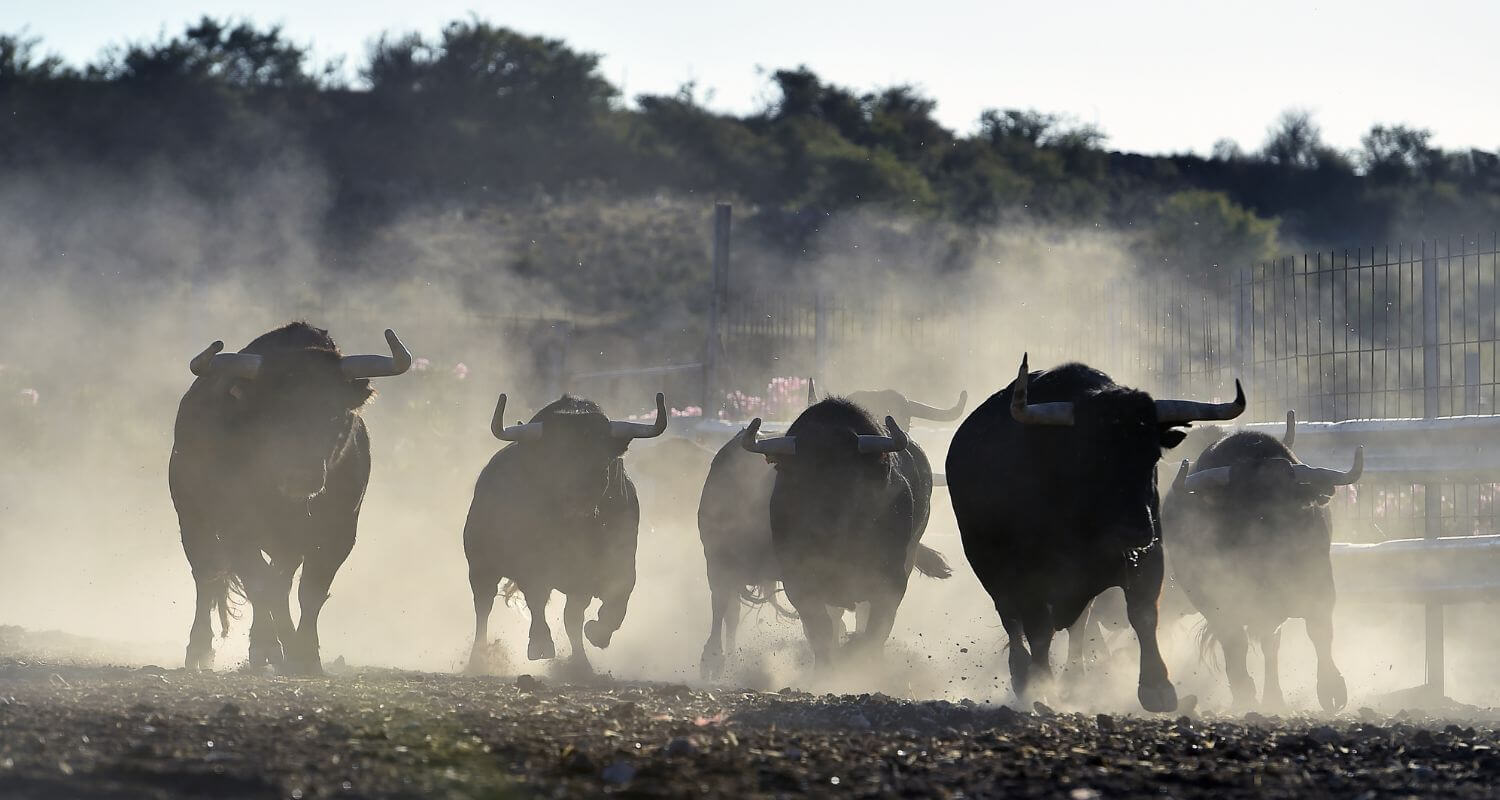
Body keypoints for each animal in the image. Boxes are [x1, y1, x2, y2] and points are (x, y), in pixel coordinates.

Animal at [171, 321, 411, 669]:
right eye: (273, 414)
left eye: (334, 413)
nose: (302, 476)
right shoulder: (236, 528)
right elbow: (259, 583)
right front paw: (270, 647)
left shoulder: (338, 533)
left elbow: (309, 592)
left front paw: (304, 654)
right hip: (192, 519)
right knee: (207, 575)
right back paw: (202, 648)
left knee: (277, 583)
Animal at [459, 390, 666, 669]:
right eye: (552, 459)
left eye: (601, 458)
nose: (578, 502)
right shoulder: (532, 564)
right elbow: (537, 598)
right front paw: (540, 644)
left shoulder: (617, 564)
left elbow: (611, 602)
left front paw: (595, 639)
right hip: (481, 567)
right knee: (483, 606)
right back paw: (478, 658)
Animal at [948, 357, 1242, 711]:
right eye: (1093, 456)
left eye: (1152, 455)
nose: (1136, 529)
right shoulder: (1028, 575)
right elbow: (1038, 630)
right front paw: (1039, 685)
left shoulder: (1148, 555)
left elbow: (1143, 613)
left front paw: (1157, 686)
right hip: (990, 569)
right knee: (1013, 621)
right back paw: (1022, 674)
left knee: (1079, 624)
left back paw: (1075, 677)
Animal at [1158, 420, 1362, 708]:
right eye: (1241, 503)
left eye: (1292, 502)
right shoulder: (1220, 605)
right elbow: (1236, 647)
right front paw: (1245, 695)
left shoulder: (1320, 586)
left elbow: (1319, 632)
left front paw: (1331, 688)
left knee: (1270, 644)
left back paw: (1274, 697)